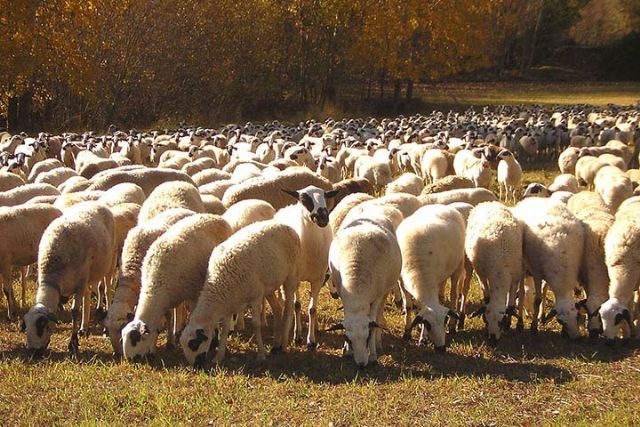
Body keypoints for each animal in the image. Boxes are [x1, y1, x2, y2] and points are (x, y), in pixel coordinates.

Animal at [22, 202, 116, 356]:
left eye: (41, 326)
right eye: (26, 328)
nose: (34, 353)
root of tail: (96, 203)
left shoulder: (80, 283)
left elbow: (74, 311)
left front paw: (73, 343)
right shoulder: (79, 281)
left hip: (109, 263)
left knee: (107, 290)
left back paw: (105, 327)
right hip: (87, 276)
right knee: (88, 294)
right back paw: (84, 327)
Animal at [179, 221, 302, 368]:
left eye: (194, 344)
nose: (196, 366)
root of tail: (287, 226)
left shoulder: (256, 296)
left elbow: (256, 324)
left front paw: (261, 355)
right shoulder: (230, 302)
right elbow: (225, 328)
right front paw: (218, 357)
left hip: (291, 276)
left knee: (288, 309)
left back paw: (283, 345)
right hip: (269, 287)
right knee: (278, 309)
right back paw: (276, 345)